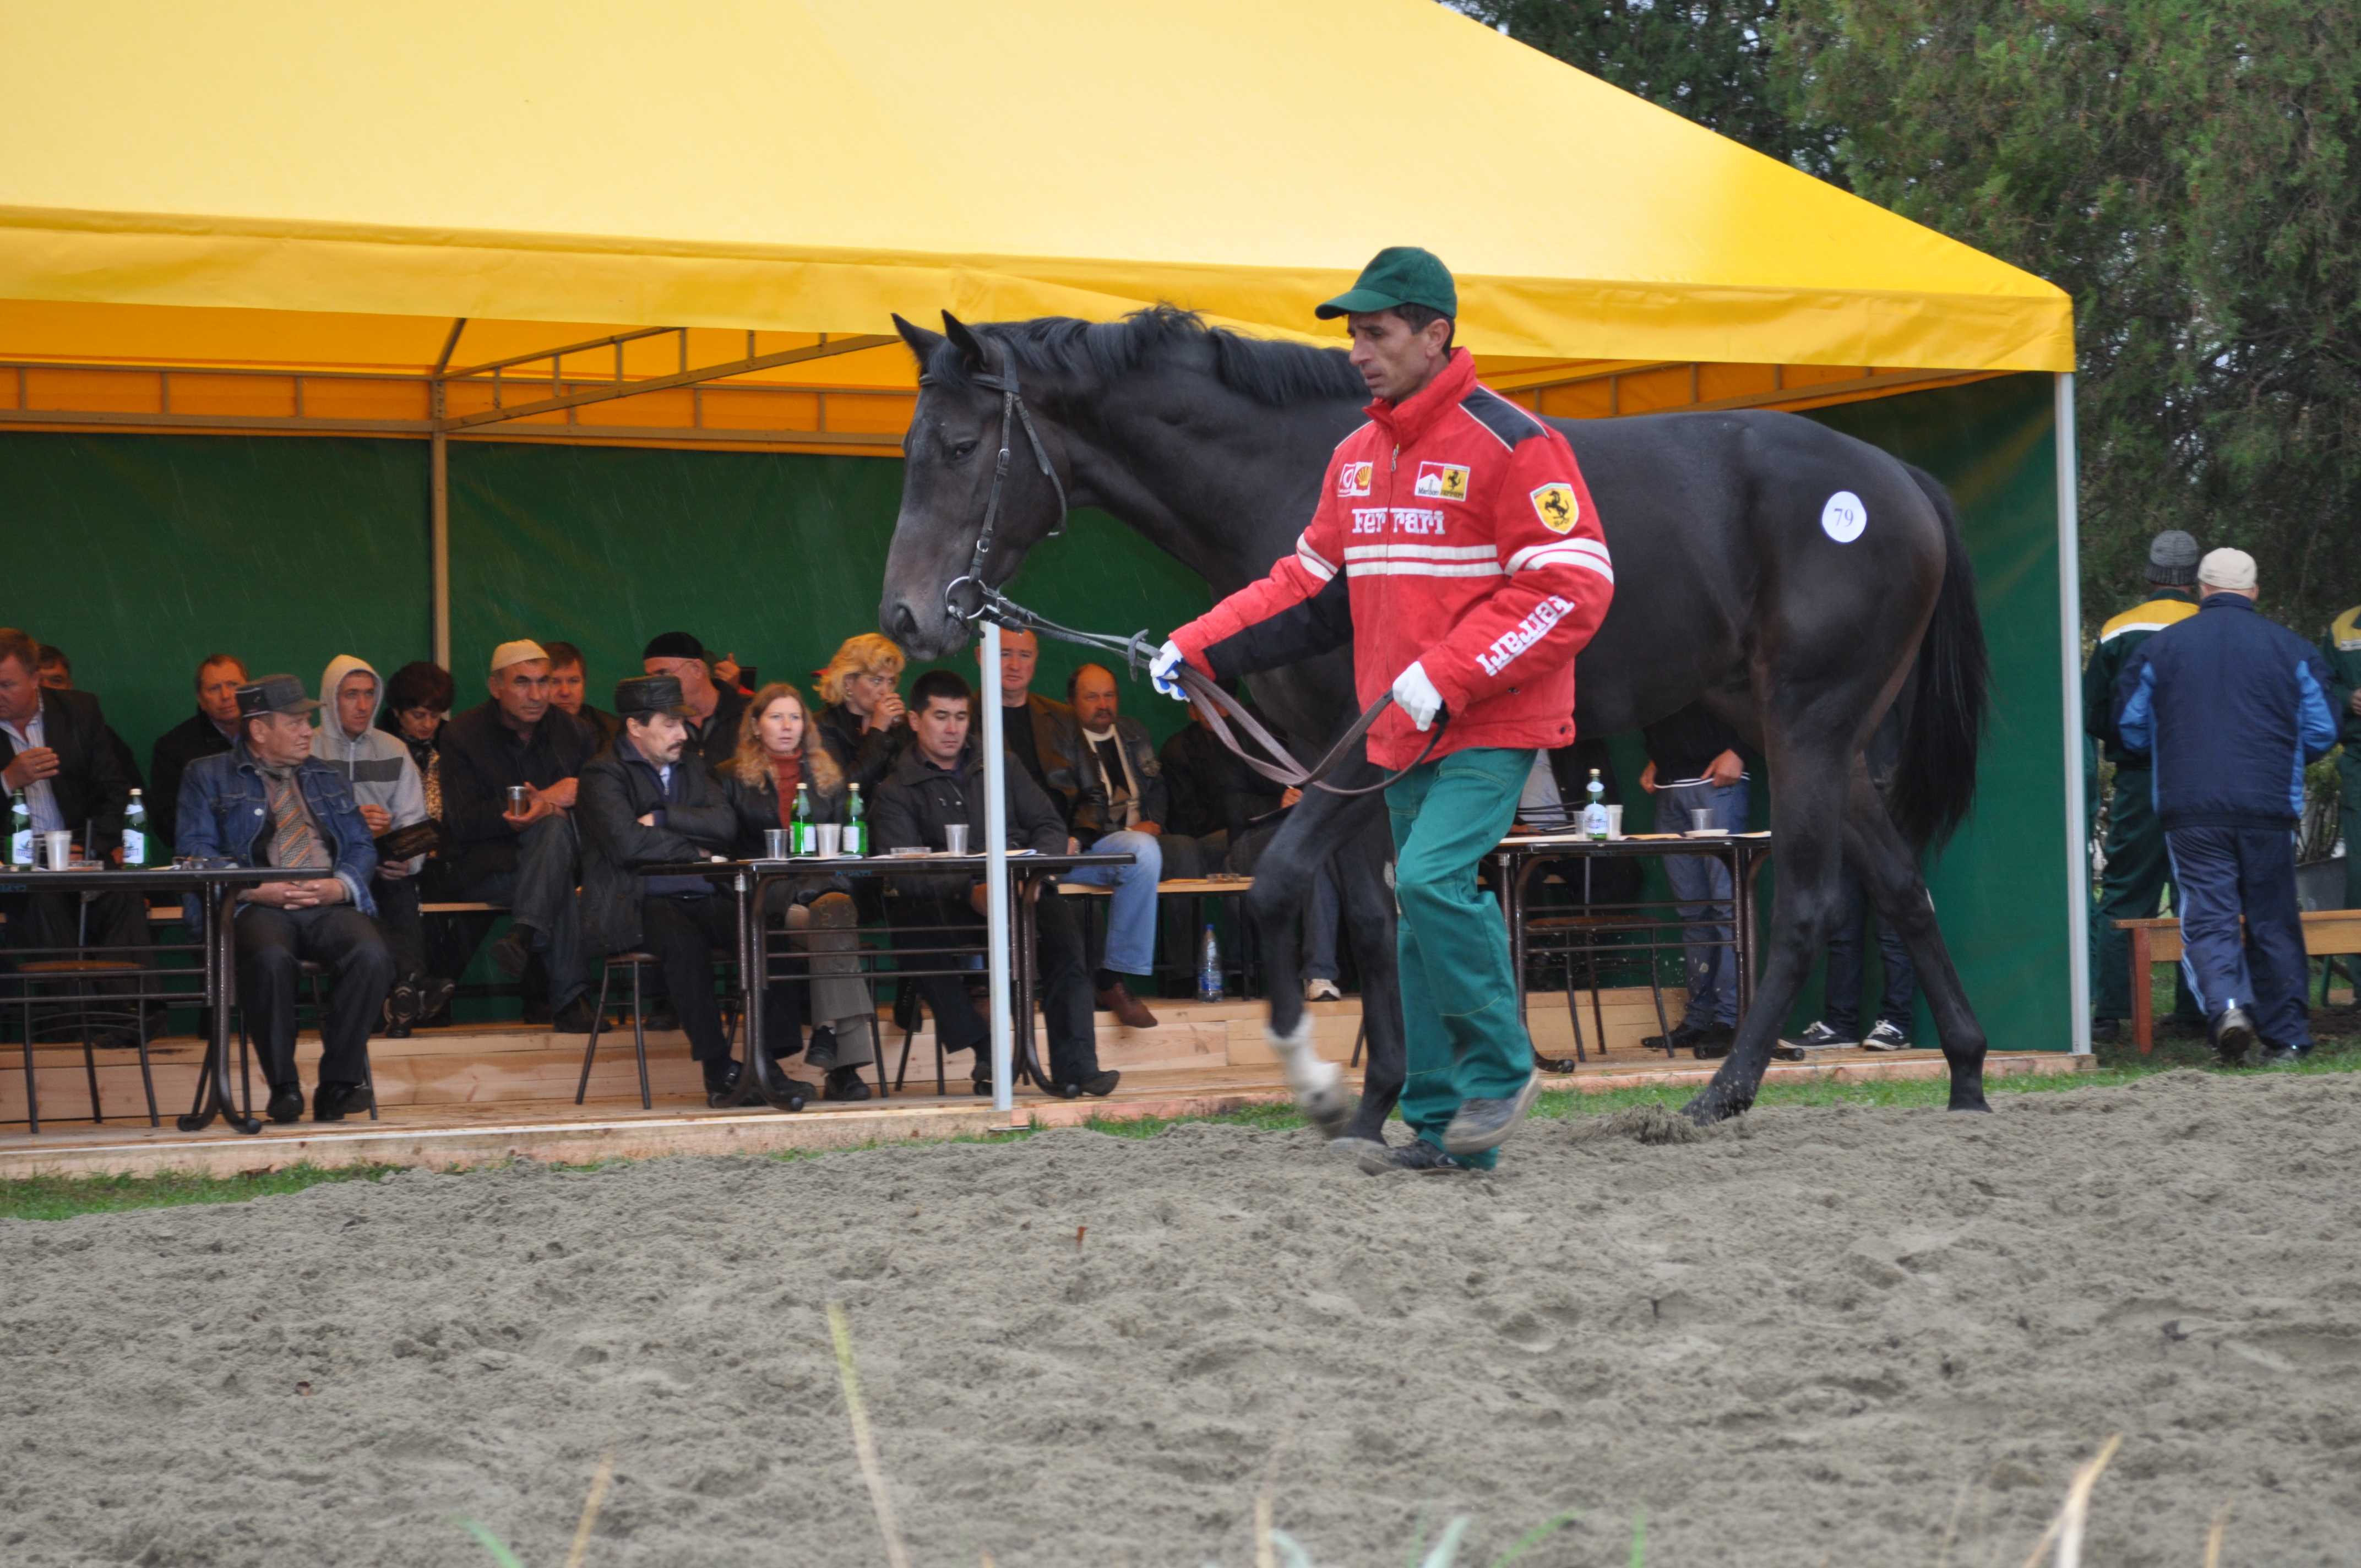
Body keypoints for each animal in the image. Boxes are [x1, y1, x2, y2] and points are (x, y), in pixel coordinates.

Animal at [888, 307, 1993, 1129]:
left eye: (959, 445)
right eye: (909, 445)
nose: (907, 615)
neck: (1293, 472)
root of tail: (1898, 482)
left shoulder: (1361, 747)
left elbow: (1282, 887)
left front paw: (1324, 1081)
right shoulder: (1334, 761)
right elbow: (1376, 921)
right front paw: (1384, 1095)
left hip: (1807, 726)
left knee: (1807, 902)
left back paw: (1720, 1094)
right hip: (1811, 734)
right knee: (1902, 887)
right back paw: (1968, 1073)